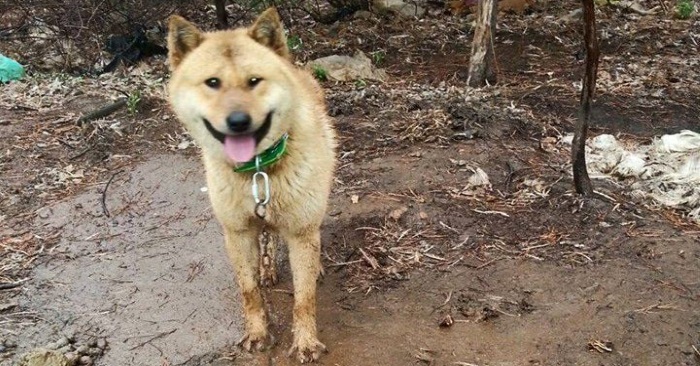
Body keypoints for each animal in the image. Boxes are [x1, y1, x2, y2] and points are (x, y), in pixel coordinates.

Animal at [167, 8, 336, 364]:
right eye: (212, 83)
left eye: (254, 81)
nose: (238, 122)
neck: (259, 170)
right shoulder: (238, 233)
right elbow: (250, 293)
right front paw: (258, 333)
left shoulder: (301, 232)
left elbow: (304, 298)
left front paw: (305, 342)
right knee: (268, 237)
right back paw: (267, 268)